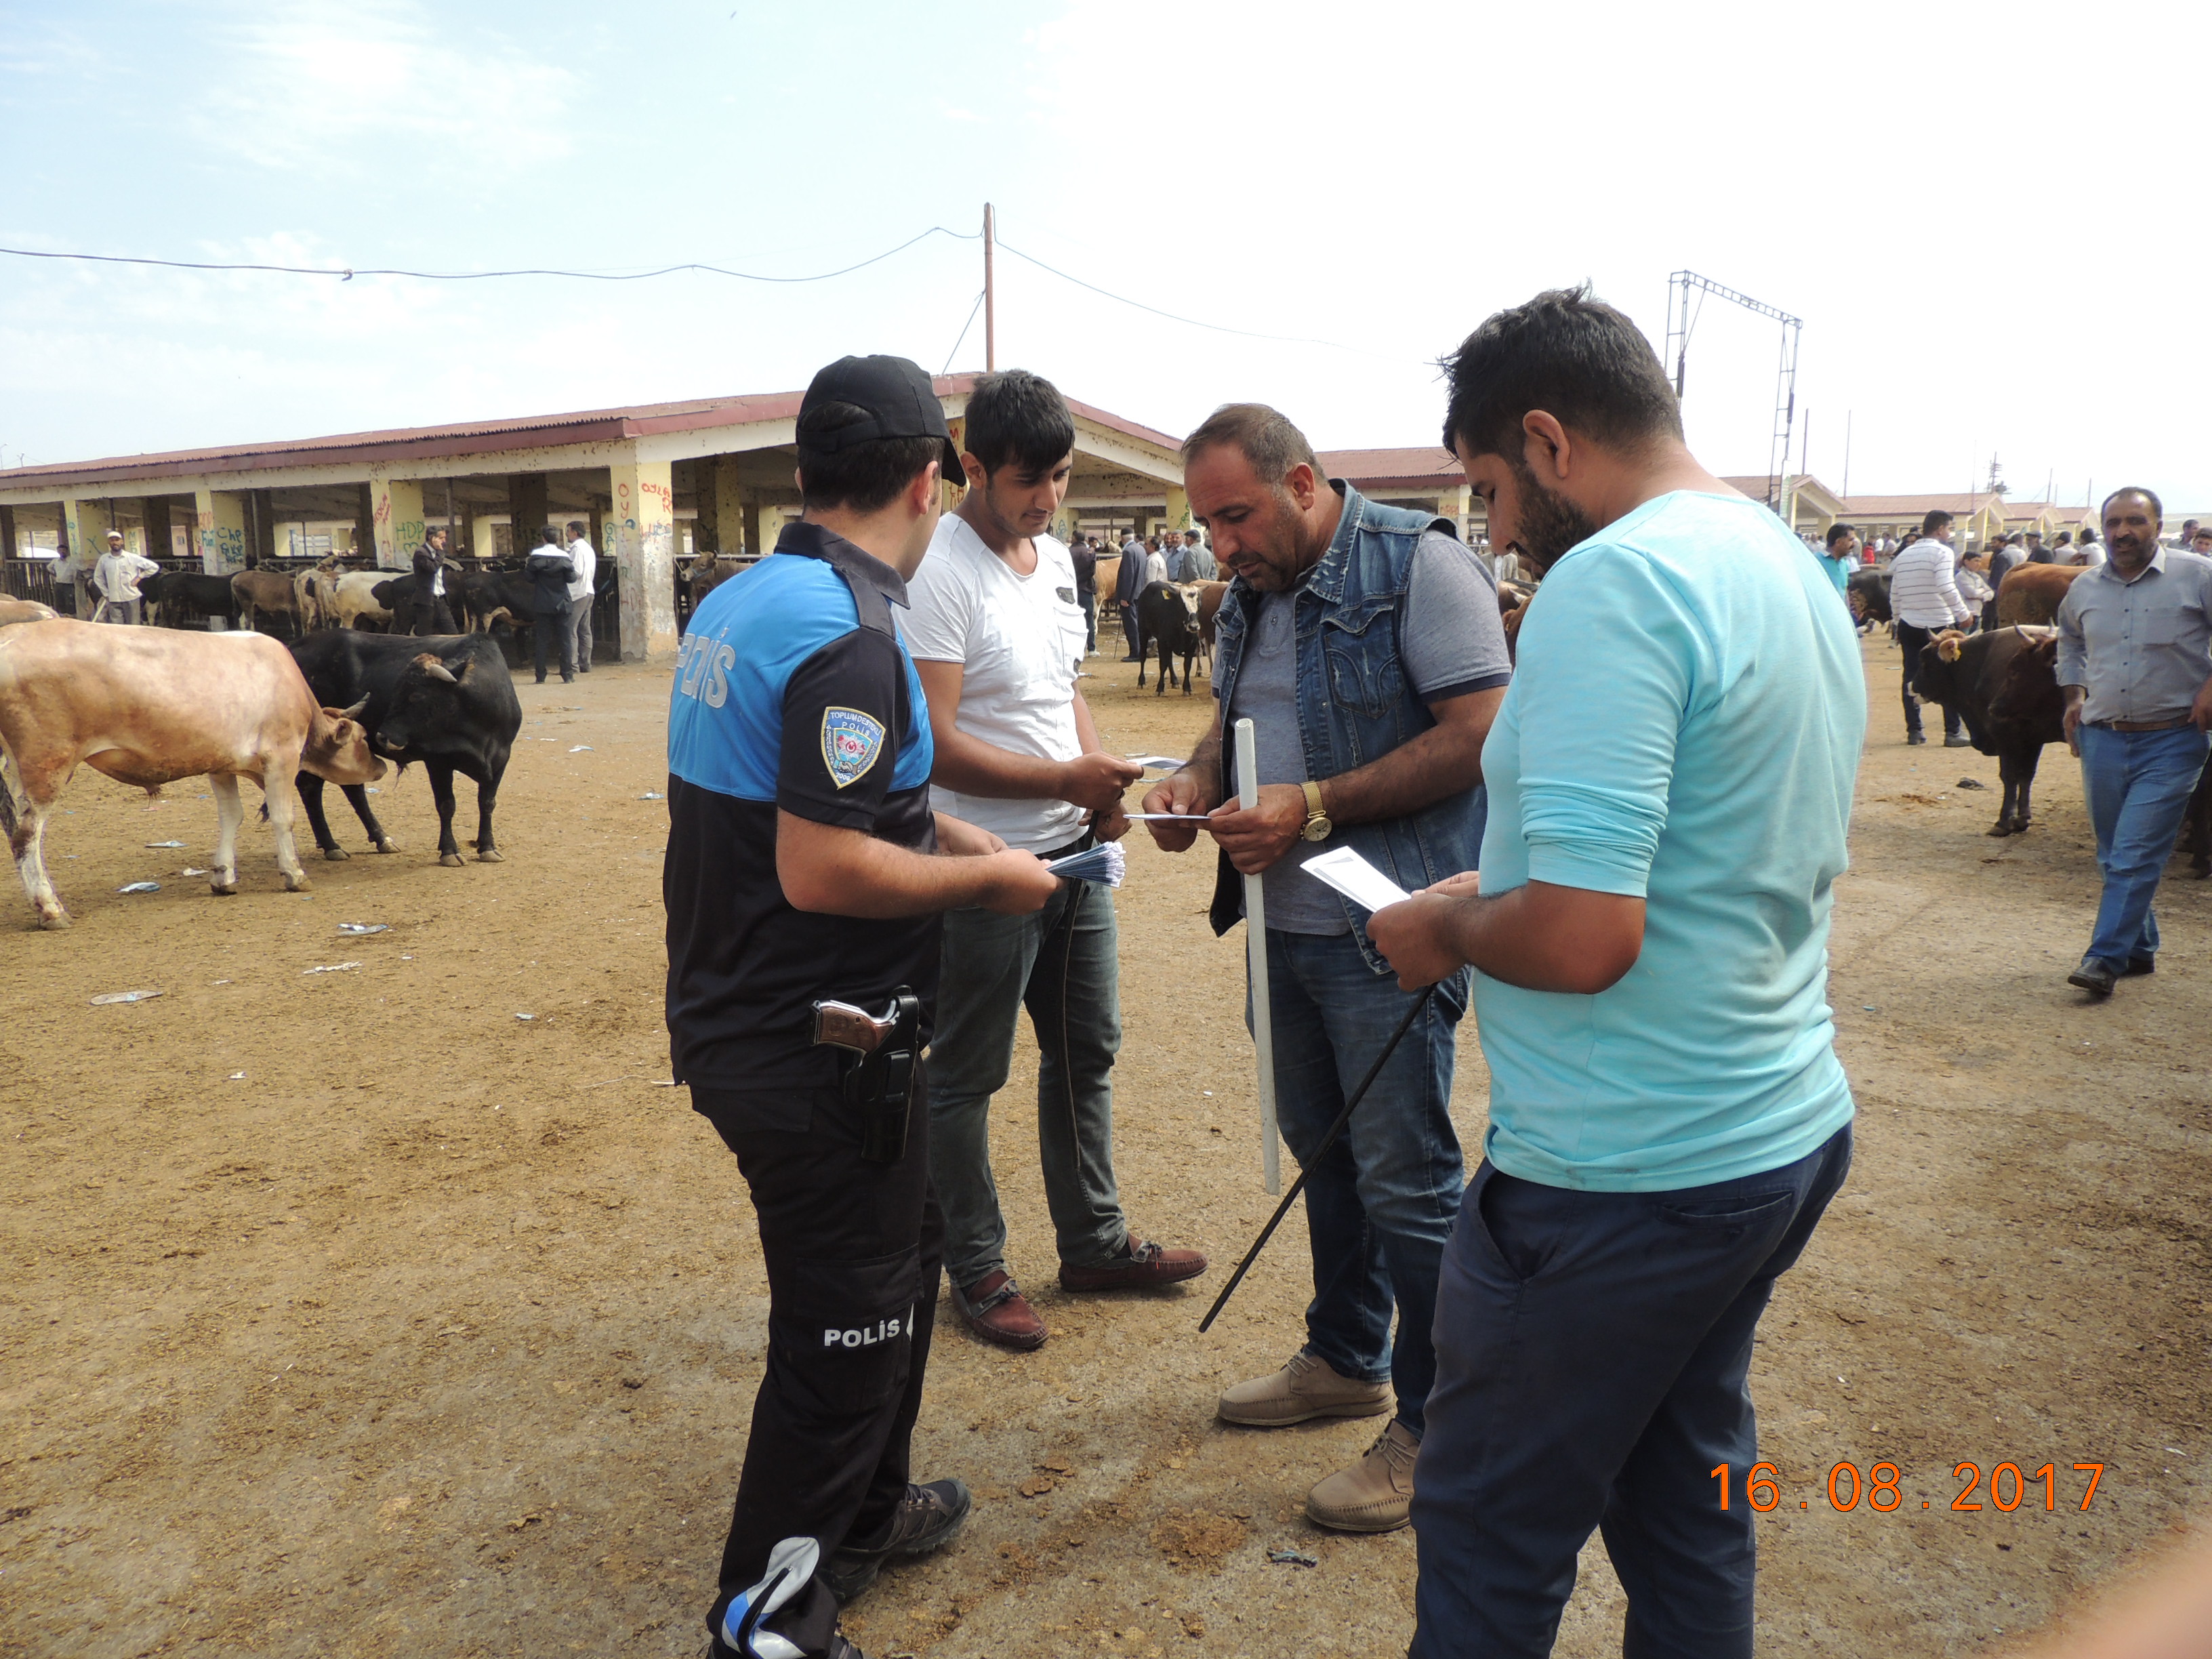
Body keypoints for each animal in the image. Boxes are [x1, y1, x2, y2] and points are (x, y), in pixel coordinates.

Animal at [0, 623, 384, 937]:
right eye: (363, 738)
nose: (380, 765)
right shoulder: (281, 757)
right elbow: (282, 818)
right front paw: (294, 874)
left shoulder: (221, 764)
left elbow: (232, 816)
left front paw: (223, 876)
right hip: (47, 766)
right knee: (26, 837)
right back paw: (50, 910)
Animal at [289, 632, 522, 872]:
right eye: (396, 691)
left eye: (416, 696)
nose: (382, 736)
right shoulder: (438, 762)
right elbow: (446, 805)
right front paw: (450, 851)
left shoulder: (501, 758)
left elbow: (487, 802)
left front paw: (488, 847)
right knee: (310, 787)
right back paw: (331, 845)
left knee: (350, 788)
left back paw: (380, 839)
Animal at [1132, 583, 1203, 694]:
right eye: (1182, 605)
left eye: (1199, 606)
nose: (1194, 627)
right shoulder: (1162, 643)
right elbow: (1163, 665)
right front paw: (1160, 688)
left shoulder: (1191, 645)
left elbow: (1187, 666)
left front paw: (1187, 688)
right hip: (1143, 632)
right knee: (1143, 656)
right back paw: (1141, 682)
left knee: (1170, 661)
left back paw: (1174, 681)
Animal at [1911, 623, 2062, 836]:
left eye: (1924, 661)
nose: (1911, 686)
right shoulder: (2032, 738)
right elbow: (2026, 775)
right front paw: (2022, 818)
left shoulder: (2004, 733)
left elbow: (2009, 776)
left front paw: (2004, 821)